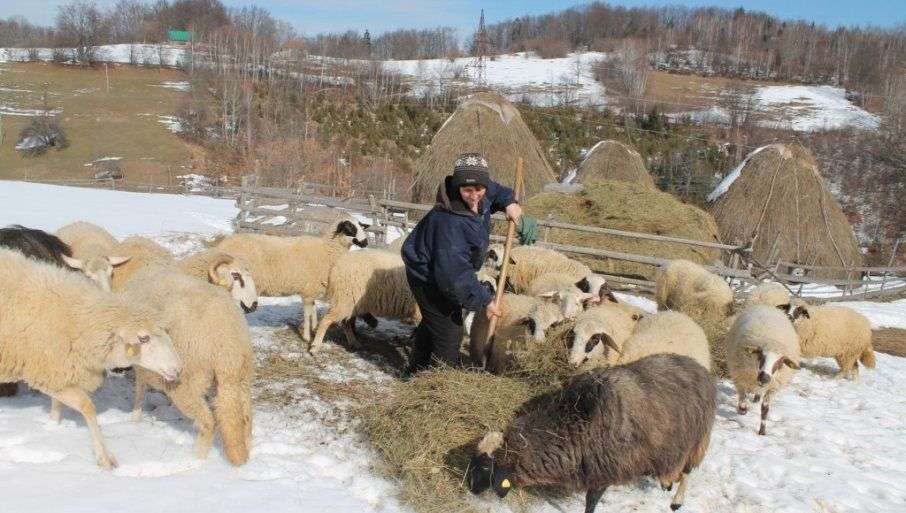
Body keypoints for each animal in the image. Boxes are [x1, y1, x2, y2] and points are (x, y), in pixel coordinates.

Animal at [0, 248, 182, 468]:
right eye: (143, 338)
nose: (178, 369)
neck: (78, 321)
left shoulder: (57, 372)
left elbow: (57, 404)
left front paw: (53, 426)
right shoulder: (44, 372)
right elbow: (87, 407)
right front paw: (104, 457)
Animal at [120, 266, 254, 466]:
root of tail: (227, 345)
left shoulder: (146, 364)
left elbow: (139, 389)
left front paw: (135, 421)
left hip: (185, 381)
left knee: (208, 422)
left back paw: (196, 459)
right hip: (242, 377)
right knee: (245, 418)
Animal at [215, 214, 368, 342]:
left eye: (361, 226)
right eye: (349, 227)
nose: (366, 242)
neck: (328, 250)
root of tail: (220, 246)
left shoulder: (311, 290)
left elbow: (313, 311)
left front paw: (314, 330)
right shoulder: (308, 290)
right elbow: (307, 314)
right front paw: (307, 337)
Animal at [466, 352, 712, 512]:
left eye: (486, 466)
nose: (469, 488)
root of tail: (698, 366)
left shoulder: (603, 471)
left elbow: (591, 503)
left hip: (697, 440)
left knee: (688, 471)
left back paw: (676, 501)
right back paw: (666, 482)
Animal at [728, 306, 800, 434]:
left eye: (779, 362)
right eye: (761, 356)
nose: (764, 378)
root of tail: (768, 307)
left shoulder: (773, 387)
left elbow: (765, 409)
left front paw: (762, 431)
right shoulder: (739, 377)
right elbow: (742, 399)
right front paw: (742, 410)